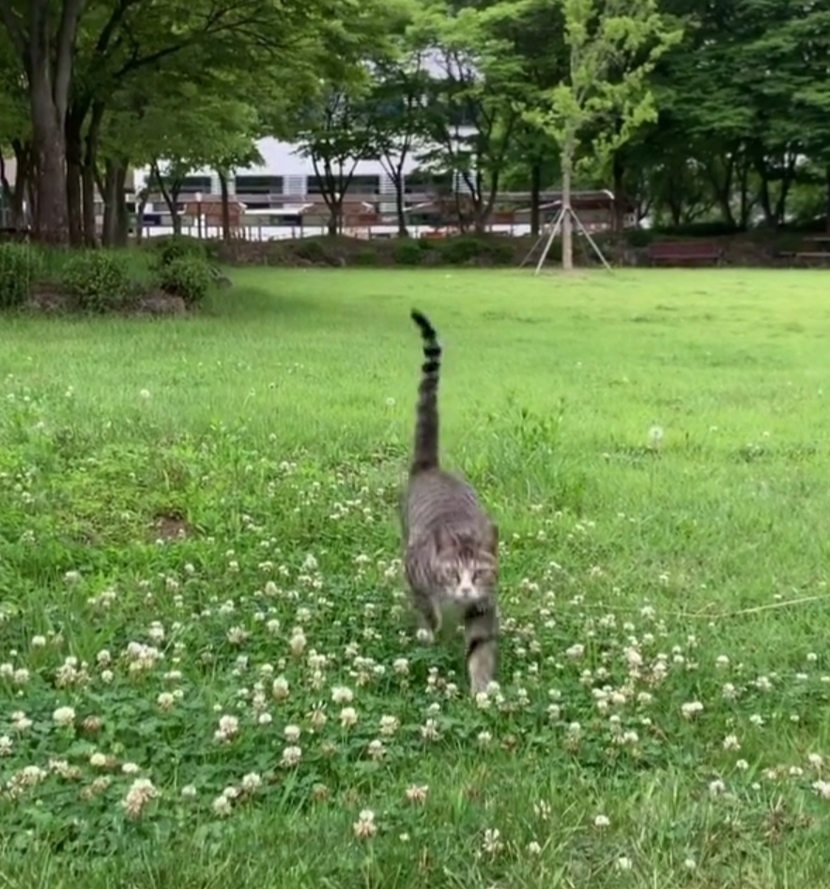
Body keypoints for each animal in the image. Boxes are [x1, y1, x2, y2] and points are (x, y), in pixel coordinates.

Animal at [400, 308, 500, 696]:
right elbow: (429, 612)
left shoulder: (483, 607)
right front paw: (432, 633)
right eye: (453, 573)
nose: (466, 589)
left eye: (480, 573)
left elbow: (480, 649)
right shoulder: (415, 574)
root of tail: (430, 466)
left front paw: (482, 691)